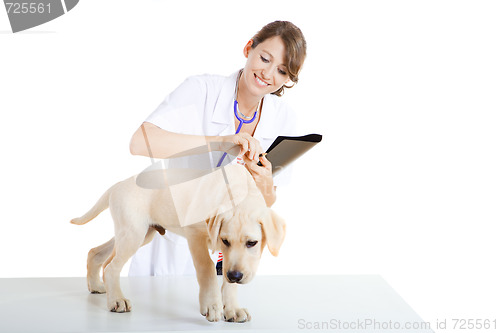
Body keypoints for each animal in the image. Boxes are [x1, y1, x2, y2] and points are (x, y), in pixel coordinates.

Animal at [70, 164, 286, 322]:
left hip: (139, 232)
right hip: (134, 234)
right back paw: (117, 300)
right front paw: (211, 305)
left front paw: (232, 308)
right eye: (225, 240)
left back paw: (96, 285)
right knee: (111, 266)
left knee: (97, 253)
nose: (235, 276)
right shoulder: (195, 235)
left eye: (252, 243)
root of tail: (118, 185)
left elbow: (227, 280)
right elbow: (207, 268)